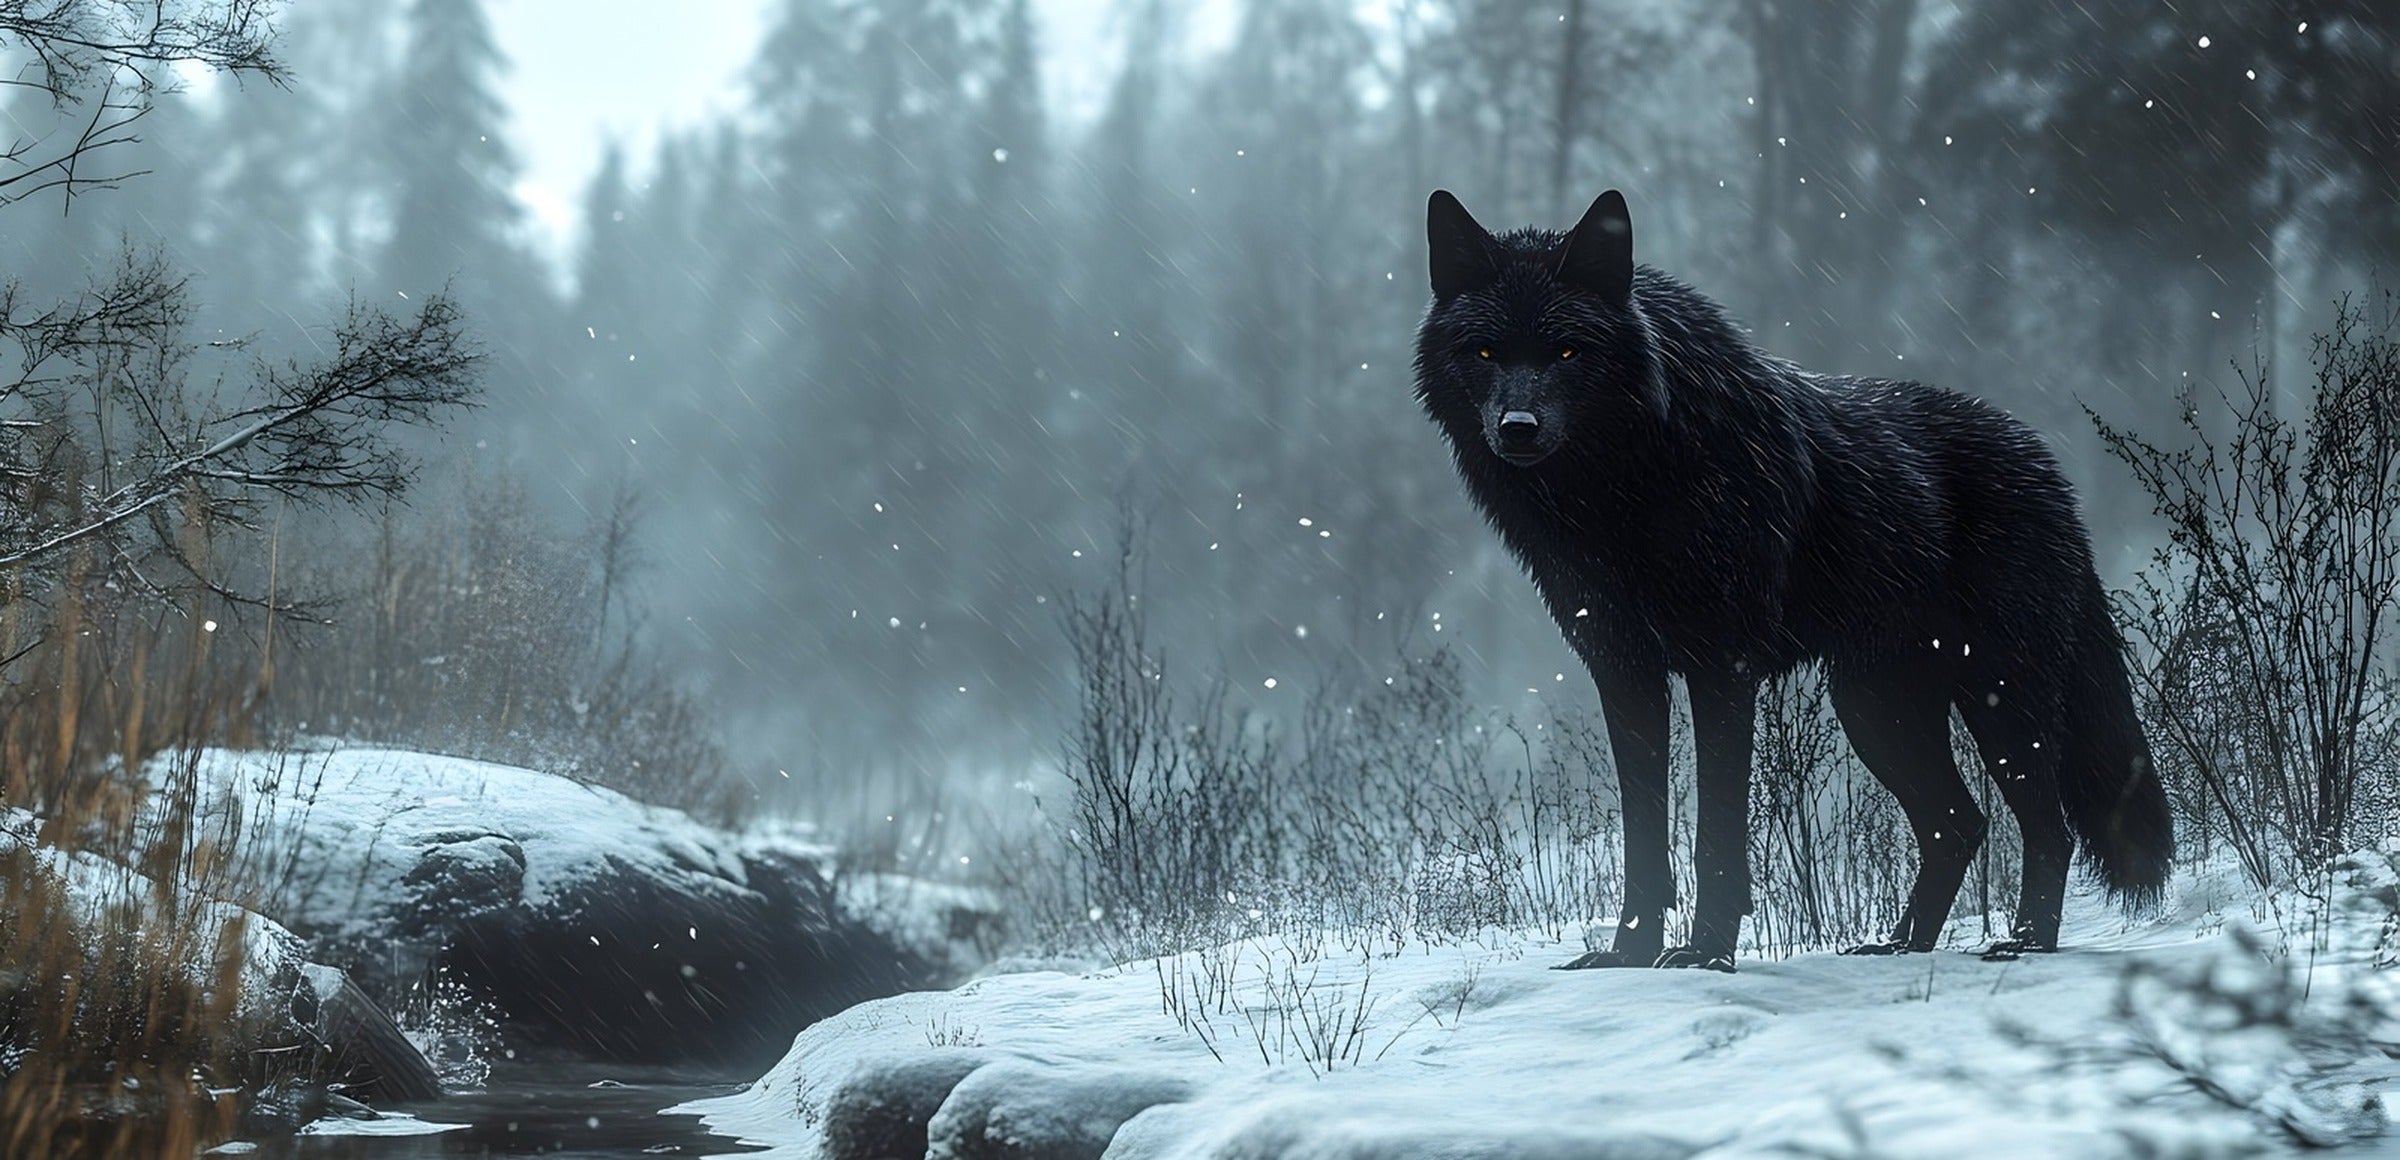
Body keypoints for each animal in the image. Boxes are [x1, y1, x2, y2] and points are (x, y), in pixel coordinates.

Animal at [1414, 189, 2172, 971]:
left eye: (1567, 351)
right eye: (1485, 351)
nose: (1518, 426)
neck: (1620, 494)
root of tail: (2049, 467)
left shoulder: (1722, 666)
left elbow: (1716, 829)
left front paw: (1705, 954)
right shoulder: (1623, 671)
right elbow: (1643, 836)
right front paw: (1628, 955)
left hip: (1994, 697)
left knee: (2046, 826)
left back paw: (2022, 943)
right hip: (1874, 705)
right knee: (1959, 824)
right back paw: (1900, 945)